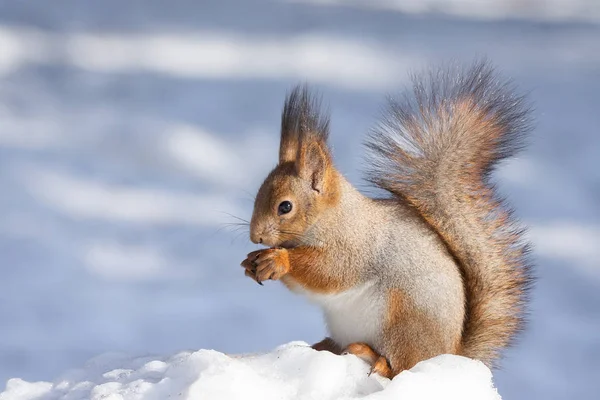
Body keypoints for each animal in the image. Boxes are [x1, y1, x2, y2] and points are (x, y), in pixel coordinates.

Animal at [241, 60, 532, 378]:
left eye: (285, 207)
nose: (255, 236)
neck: (333, 217)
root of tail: (447, 353)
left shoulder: (355, 246)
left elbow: (329, 271)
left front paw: (278, 260)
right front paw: (252, 261)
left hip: (404, 321)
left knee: (399, 367)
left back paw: (371, 356)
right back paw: (324, 346)